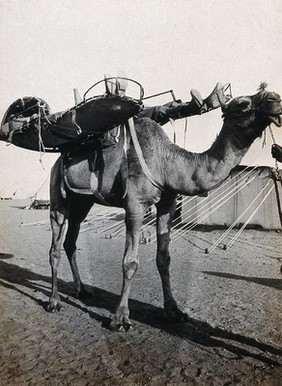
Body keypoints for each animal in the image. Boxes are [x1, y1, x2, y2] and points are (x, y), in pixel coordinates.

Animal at [47, 86, 280, 330]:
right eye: (242, 103)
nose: (275, 99)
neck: (167, 163)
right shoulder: (135, 205)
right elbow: (130, 262)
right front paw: (120, 317)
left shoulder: (167, 204)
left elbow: (164, 259)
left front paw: (173, 310)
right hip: (58, 194)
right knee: (55, 244)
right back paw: (54, 301)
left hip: (83, 202)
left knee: (70, 240)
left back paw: (81, 290)